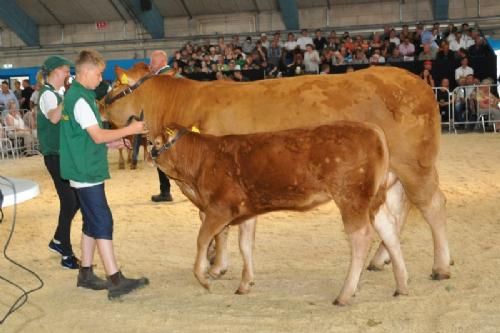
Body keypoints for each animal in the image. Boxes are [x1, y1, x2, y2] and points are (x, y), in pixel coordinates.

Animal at [99, 64, 452, 278]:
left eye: (114, 86)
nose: (101, 107)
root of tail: (416, 81)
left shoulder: (216, 183)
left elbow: (218, 227)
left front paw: (216, 265)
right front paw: (215, 259)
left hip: (414, 164)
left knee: (433, 206)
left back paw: (441, 265)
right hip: (392, 173)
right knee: (398, 211)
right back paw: (382, 259)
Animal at [153, 121, 410, 304]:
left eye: (156, 142)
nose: (150, 153)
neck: (203, 160)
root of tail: (372, 128)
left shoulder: (219, 209)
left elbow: (202, 239)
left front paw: (204, 278)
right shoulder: (247, 212)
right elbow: (245, 245)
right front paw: (245, 283)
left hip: (351, 198)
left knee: (361, 238)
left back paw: (345, 294)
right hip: (373, 200)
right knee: (389, 231)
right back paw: (402, 285)